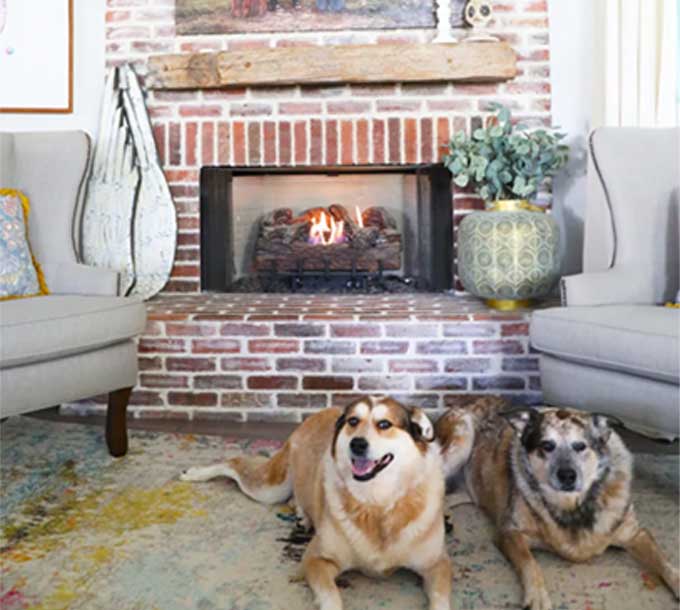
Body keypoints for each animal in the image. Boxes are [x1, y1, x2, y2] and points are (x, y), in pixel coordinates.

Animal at [181, 394, 454, 608]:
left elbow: (442, 599)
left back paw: (303, 515)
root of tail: (320, 413)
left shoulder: (438, 564)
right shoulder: (316, 559)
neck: (376, 503)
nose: (357, 444)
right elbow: (332, 596)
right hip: (270, 488)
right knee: (234, 463)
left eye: (384, 424)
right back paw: (192, 473)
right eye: (353, 421)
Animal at [436, 394, 680, 608]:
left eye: (580, 446)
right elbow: (530, 563)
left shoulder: (636, 534)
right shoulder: (509, 532)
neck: (572, 506)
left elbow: (663, 560)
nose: (567, 476)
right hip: (462, 438)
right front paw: (537, 597)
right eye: (547, 446)